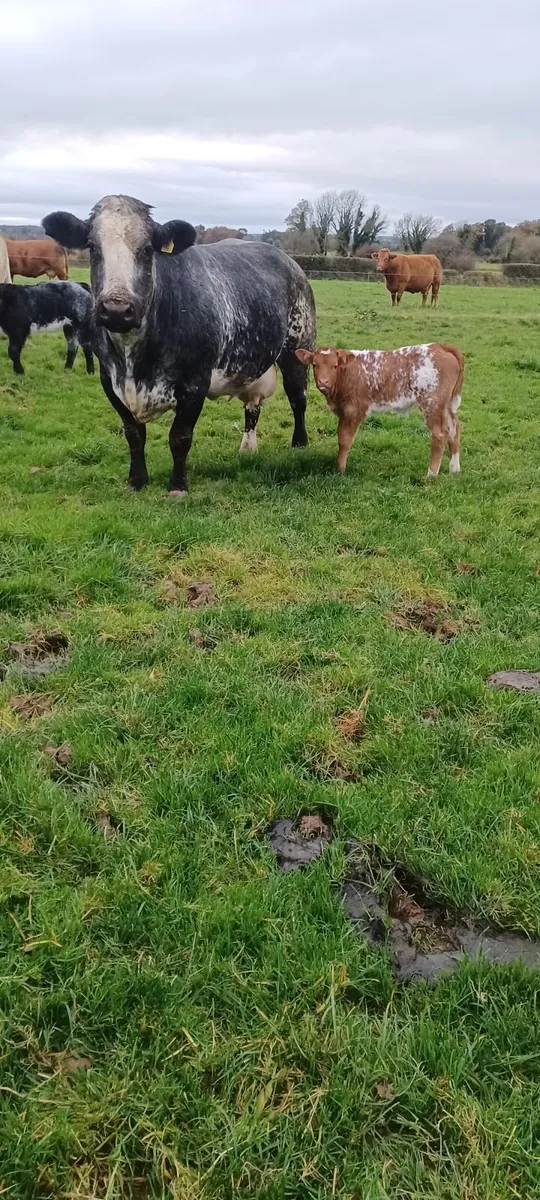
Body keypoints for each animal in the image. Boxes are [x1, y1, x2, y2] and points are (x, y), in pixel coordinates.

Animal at [42, 195, 316, 495]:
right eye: (92, 247)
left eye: (147, 249)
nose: (116, 309)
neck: (134, 360)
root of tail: (289, 262)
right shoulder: (109, 380)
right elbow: (134, 435)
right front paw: (136, 481)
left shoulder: (195, 383)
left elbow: (180, 437)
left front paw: (178, 486)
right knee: (253, 407)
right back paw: (247, 448)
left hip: (298, 349)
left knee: (298, 398)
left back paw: (300, 443)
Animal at [295, 343, 464, 477]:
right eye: (314, 365)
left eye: (334, 366)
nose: (323, 382)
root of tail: (441, 346)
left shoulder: (352, 410)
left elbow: (344, 440)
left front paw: (340, 470)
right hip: (446, 405)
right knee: (454, 428)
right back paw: (454, 469)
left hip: (432, 404)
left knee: (440, 435)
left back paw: (431, 474)